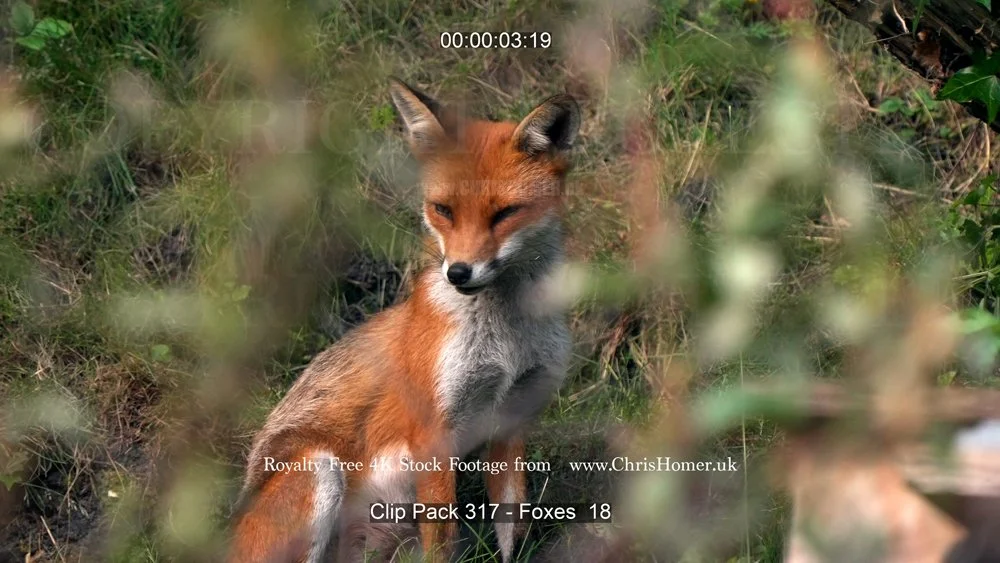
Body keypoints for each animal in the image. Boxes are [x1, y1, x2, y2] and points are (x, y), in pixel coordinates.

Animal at [228, 78, 581, 563]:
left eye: (504, 214)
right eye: (443, 210)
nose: (458, 273)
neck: (507, 341)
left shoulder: (512, 421)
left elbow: (514, 528)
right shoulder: (433, 431)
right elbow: (444, 540)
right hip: (320, 469)